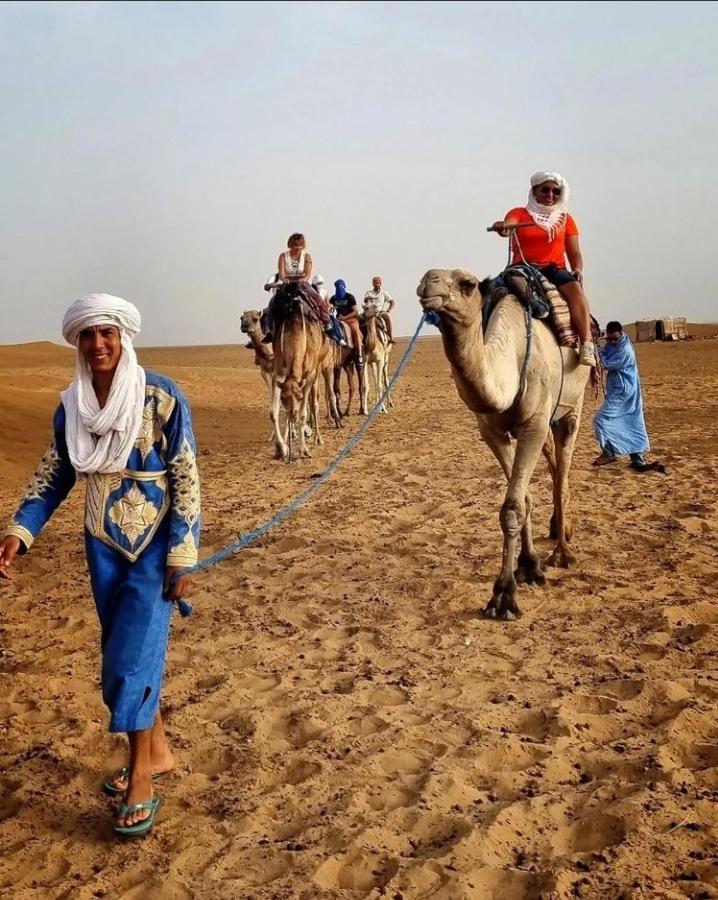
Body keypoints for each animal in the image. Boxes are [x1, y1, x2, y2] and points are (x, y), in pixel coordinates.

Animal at [420, 268, 592, 620]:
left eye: (467, 284)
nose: (428, 280)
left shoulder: (534, 424)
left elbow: (513, 506)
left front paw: (504, 597)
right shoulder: (493, 431)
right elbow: (522, 500)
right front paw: (527, 567)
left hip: (572, 406)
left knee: (562, 476)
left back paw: (563, 552)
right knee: (554, 466)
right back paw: (558, 529)